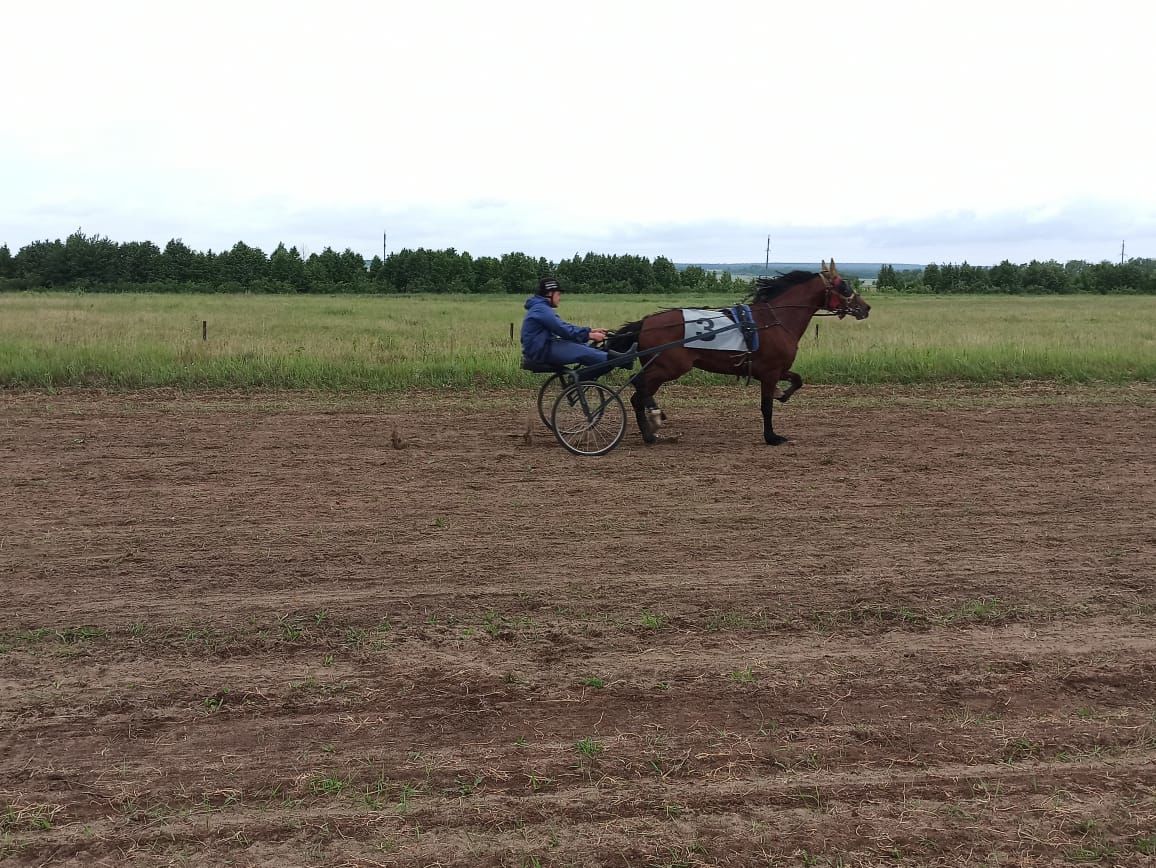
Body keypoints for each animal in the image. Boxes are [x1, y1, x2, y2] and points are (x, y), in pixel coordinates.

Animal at [605, 261, 869, 443]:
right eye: (844, 285)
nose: (865, 307)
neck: (775, 320)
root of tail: (645, 323)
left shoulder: (775, 369)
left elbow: (797, 380)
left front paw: (782, 394)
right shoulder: (770, 372)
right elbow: (766, 406)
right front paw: (772, 437)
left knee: (638, 395)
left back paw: (650, 432)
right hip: (666, 367)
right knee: (638, 387)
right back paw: (654, 419)